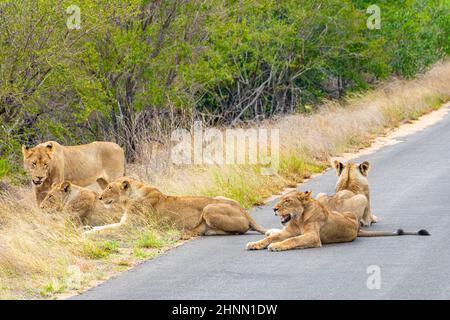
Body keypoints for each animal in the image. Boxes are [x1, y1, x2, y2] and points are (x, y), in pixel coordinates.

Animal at [92, 175, 268, 238]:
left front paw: (89, 234)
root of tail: (244, 212)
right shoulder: (125, 223)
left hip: (208, 208)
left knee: (238, 231)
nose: (99, 197)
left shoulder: (132, 226)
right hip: (219, 197)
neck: (128, 199)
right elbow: (103, 226)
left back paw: (193, 232)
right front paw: (89, 229)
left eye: (110, 188)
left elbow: (106, 229)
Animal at [246, 190, 428, 252]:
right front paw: (255, 244)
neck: (299, 219)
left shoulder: (313, 237)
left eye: (287, 201)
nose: (274, 209)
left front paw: (276, 246)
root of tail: (357, 228)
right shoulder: (288, 231)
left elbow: (293, 240)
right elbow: (272, 237)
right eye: (280, 200)